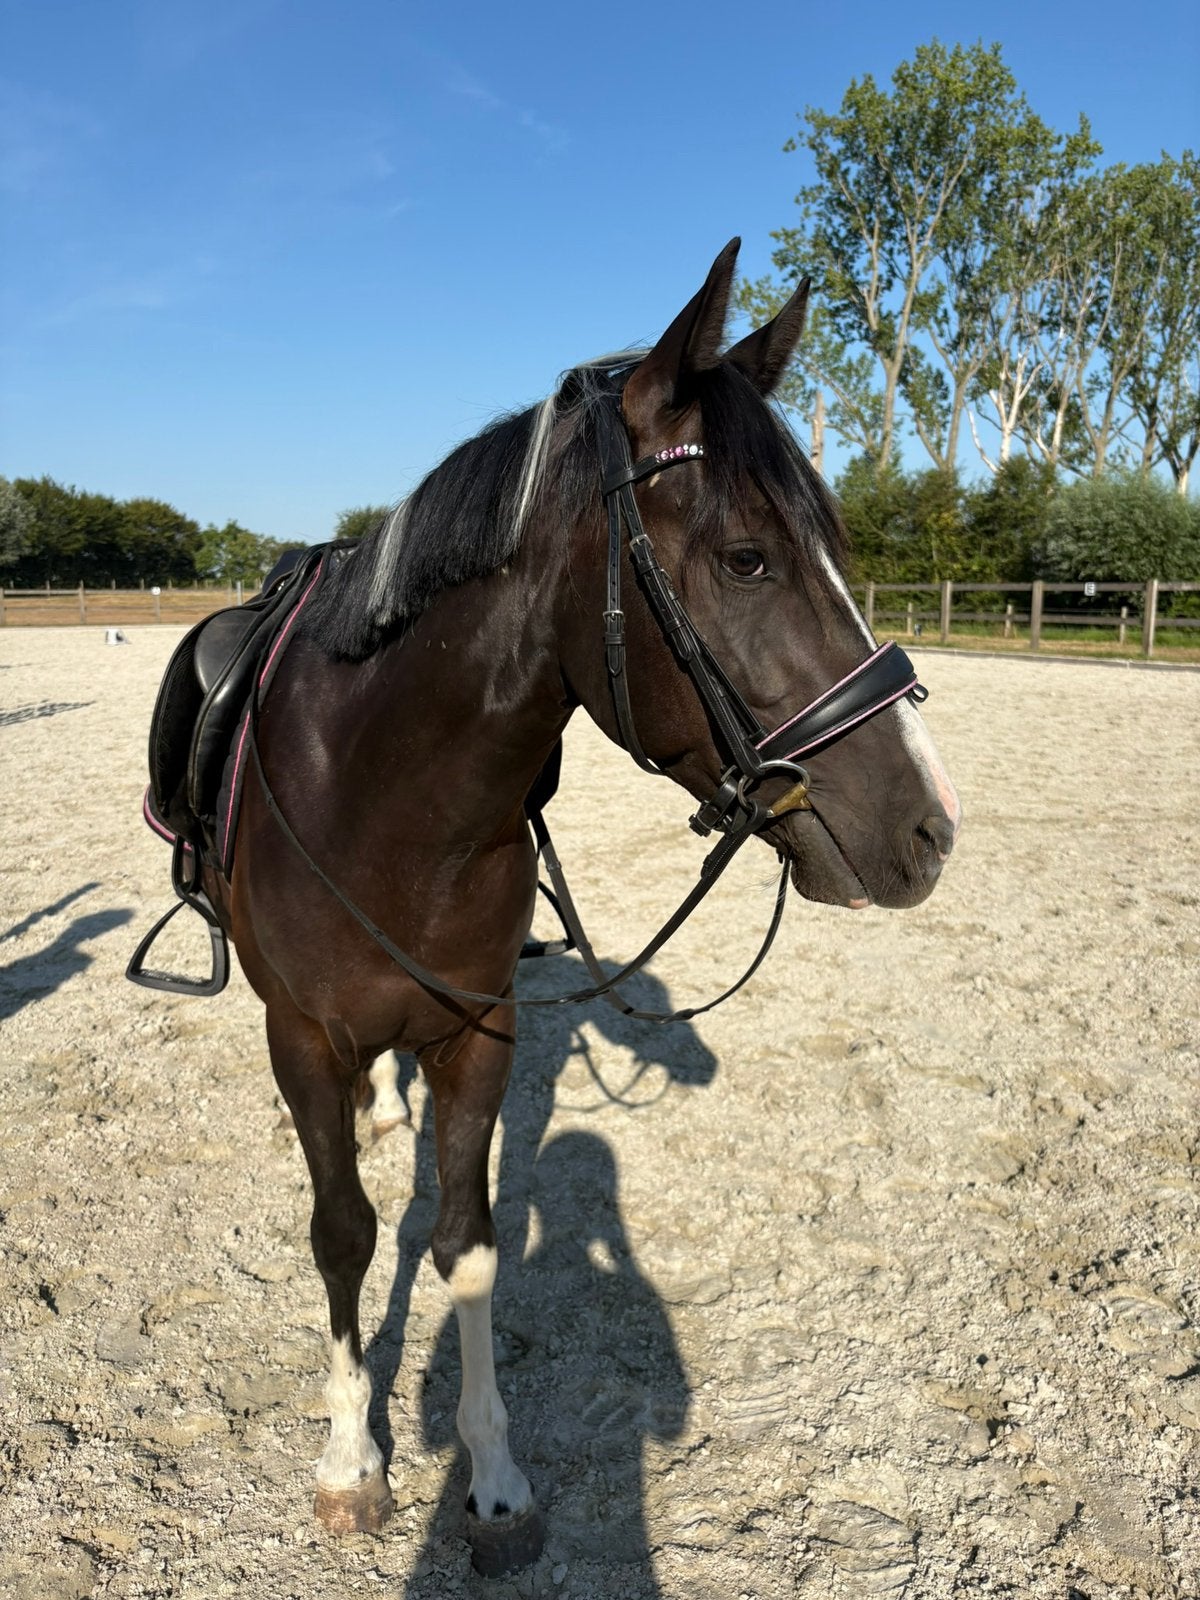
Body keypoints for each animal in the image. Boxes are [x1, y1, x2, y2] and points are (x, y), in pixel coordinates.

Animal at [179, 238, 960, 1574]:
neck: (387, 795)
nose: (929, 829)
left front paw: (492, 1482)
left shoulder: (478, 1030)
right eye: (746, 557)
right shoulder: (303, 1041)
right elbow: (344, 1233)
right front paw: (350, 1464)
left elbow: (467, 1246)